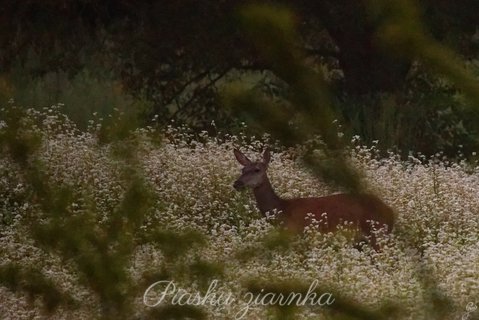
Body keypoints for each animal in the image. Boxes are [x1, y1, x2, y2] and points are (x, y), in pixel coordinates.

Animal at [232, 148, 394, 250]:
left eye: (257, 170)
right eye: (243, 169)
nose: (237, 183)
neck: (282, 210)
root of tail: (391, 213)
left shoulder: (294, 233)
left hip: (377, 233)